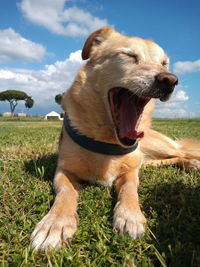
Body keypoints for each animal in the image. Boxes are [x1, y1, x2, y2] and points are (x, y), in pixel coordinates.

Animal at [30, 27, 200, 251]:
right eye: (129, 56)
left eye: (164, 64)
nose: (170, 80)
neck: (108, 141)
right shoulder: (64, 171)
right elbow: (66, 192)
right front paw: (55, 223)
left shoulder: (130, 171)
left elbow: (129, 190)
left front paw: (130, 216)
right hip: (149, 160)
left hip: (158, 148)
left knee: (183, 151)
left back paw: (193, 162)